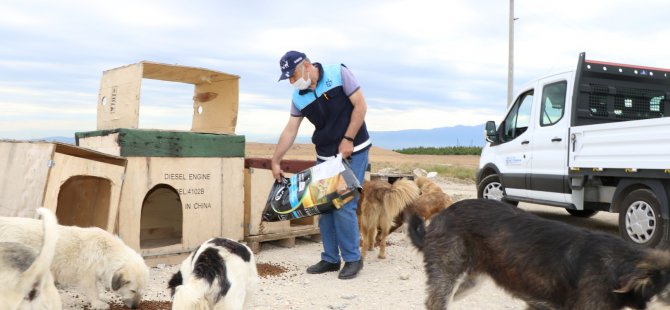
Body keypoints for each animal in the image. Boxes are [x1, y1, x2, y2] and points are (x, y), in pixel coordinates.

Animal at [0, 216, 148, 310]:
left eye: (141, 291)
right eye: (133, 290)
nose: (135, 307)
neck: (107, 251)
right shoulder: (88, 276)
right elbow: (92, 291)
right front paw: (98, 303)